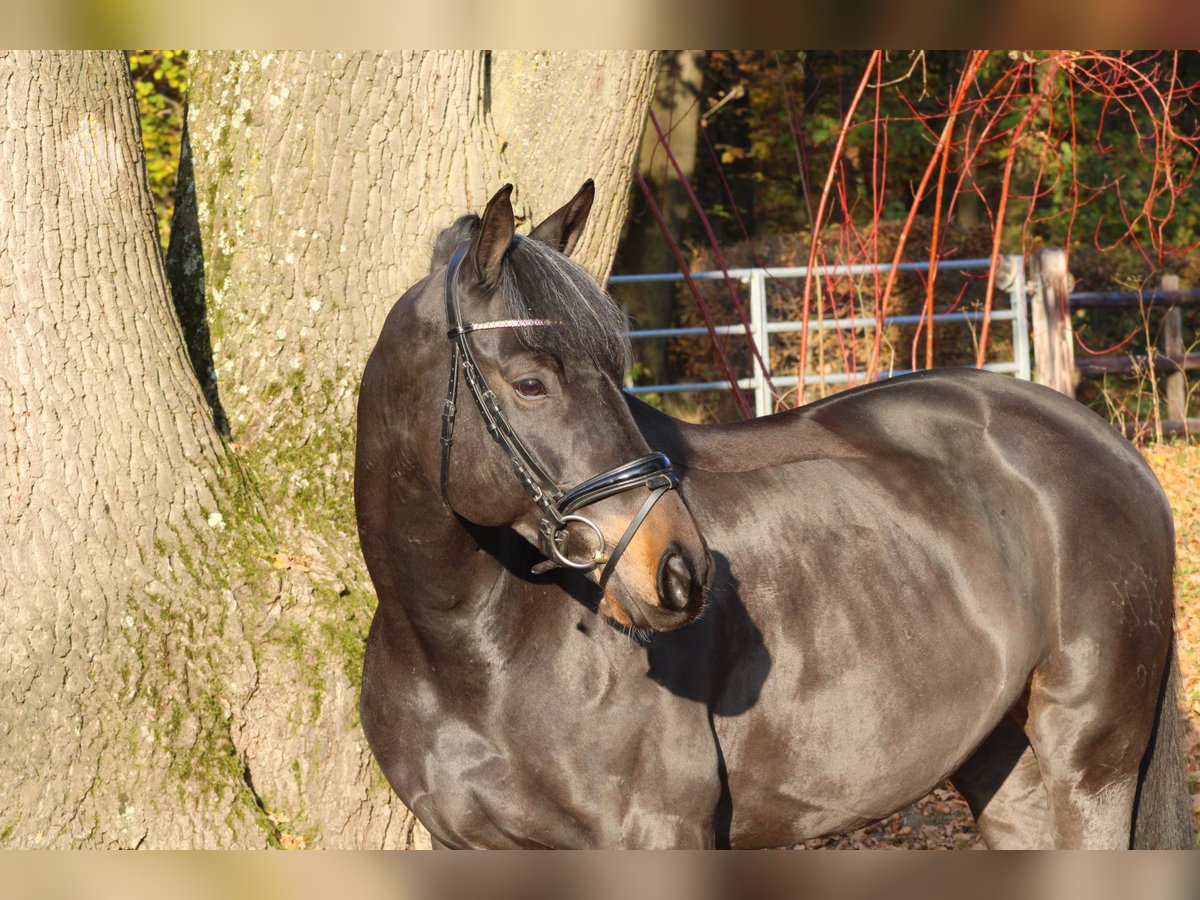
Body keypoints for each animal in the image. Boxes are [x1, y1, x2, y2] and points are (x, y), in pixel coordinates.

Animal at [350, 180, 1195, 849]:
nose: (679, 571)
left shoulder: (656, 835)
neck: (468, 650)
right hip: (1004, 765)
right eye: (530, 383)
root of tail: (1114, 449)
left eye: (617, 372)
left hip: (1089, 765)